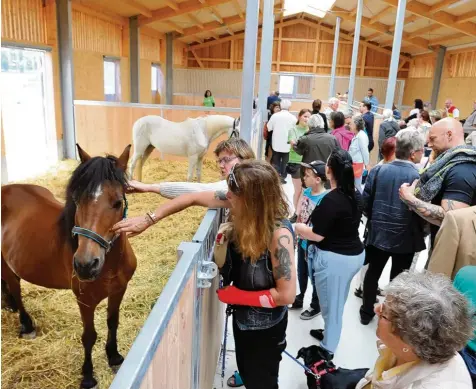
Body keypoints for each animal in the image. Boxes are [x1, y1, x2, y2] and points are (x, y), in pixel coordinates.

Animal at [1, 145, 139, 388]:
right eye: (77, 200)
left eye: (117, 203)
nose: (85, 265)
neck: (109, 266)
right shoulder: (85, 301)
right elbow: (89, 336)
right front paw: (88, 376)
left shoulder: (118, 291)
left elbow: (113, 322)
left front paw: (114, 357)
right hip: (8, 266)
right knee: (15, 289)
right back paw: (26, 325)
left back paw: (9, 305)